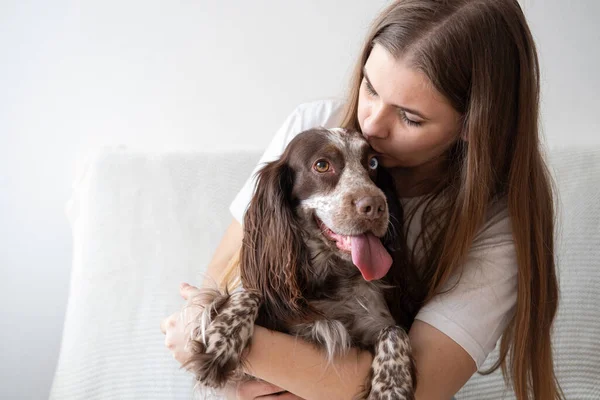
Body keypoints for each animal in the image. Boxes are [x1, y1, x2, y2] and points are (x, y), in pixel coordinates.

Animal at [188, 128, 418, 400]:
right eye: (322, 165)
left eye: (372, 163)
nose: (376, 207)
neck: (328, 280)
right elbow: (250, 293)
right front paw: (220, 344)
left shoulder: (372, 324)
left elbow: (394, 331)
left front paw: (391, 386)